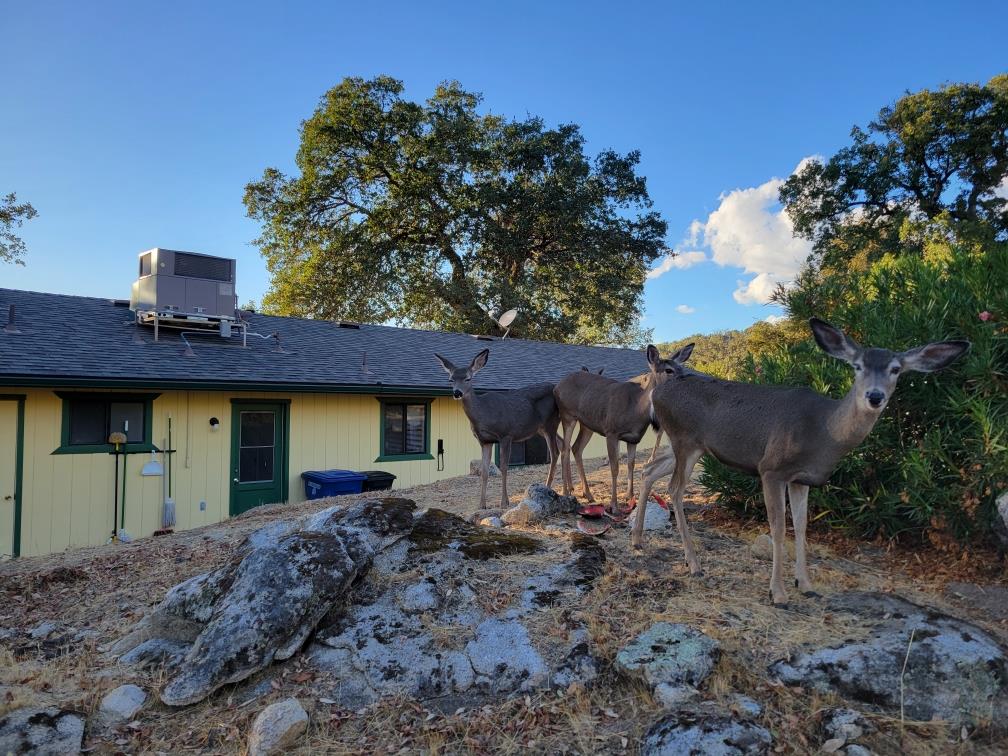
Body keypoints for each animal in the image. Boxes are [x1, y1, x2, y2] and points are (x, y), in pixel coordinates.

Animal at [431, 352, 564, 512]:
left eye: (468, 378)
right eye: (451, 379)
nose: (457, 393)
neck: (483, 414)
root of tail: (556, 388)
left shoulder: (506, 435)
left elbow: (504, 467)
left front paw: (504, 502)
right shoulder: (485, 441)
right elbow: (484, 471)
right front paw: (481, 505)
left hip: (550, 422)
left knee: (555, 452)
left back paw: (548, 487)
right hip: (541, 428)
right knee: (563, 444)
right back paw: (566, 487)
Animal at [552, 344, 693, 516]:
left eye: (681, 367)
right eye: (668, 370)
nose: (686, 380)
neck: (636, 410)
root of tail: (557, 386)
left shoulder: (634, 438)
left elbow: (631, 464)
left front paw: (630, 497)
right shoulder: (611, 432)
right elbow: (615, 467)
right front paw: (614, 505)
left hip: (587, 424)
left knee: (576, 448)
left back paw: (588, 494)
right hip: (567, 415)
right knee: (565, 448)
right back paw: (566, 492)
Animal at [628, 316, 967, 608]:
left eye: (896, 369)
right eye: (857, 366)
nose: (874, 396)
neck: (823, 432)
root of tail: (658, 393)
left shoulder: (802, 479)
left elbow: (802, 527)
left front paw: (805, 584)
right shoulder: (772, 469)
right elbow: (778, 528)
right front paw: (777, 593)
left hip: (687, 446)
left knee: (650, 470)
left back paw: (638, 539)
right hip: (685, 440)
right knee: (674, 489)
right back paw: (694, 562)